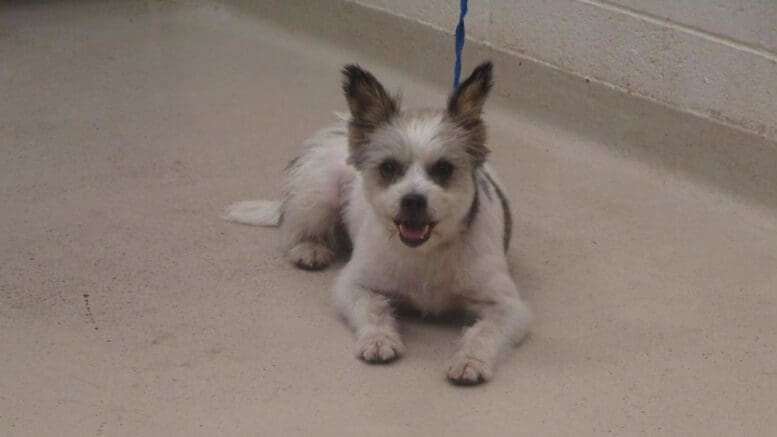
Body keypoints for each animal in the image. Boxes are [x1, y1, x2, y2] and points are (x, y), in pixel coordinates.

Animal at [221, 62, 532, 384]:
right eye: (388, 167)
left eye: (444, 168)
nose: (412, 200)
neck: (426, 253)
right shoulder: (353, 284)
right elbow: (372, 308)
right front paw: (379, 339)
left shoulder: (509, 307)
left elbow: (485, 331)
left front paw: (470, 359)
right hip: (318, 194)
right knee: (294, 228)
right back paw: (309, 248)